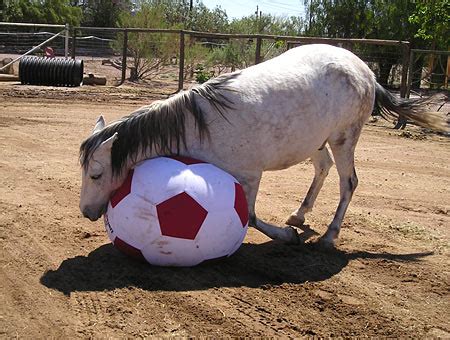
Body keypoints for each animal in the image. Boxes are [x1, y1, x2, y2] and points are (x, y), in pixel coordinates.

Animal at [79, 45, 448, 247]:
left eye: (96, 174)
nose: (86, 212)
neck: (197, 123)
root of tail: (366, 72)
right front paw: (291, 229)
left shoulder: (249, 176)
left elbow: (252, 218)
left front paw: (286, 236)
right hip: (317, 141)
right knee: (324, 168)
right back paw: (300, 214)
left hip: (344, 138)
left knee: (349, 182)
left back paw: (330, 234)